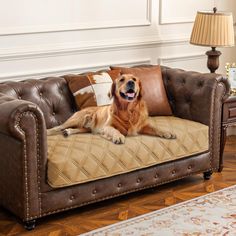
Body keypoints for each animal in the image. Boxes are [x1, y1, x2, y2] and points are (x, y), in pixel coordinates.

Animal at [46, 74, 175, 144]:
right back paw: (49, 132)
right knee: (58, 127)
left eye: (134, 79)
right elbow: (115, 130)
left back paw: (68, 132)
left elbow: (156, 128)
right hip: (78, 118)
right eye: (122, 79)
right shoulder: (107, 127)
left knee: (78, 129)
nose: (131, 82)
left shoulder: (143, 125)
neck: (129, 110)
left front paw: (167, 132)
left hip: (86, 127)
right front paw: (118, 137)